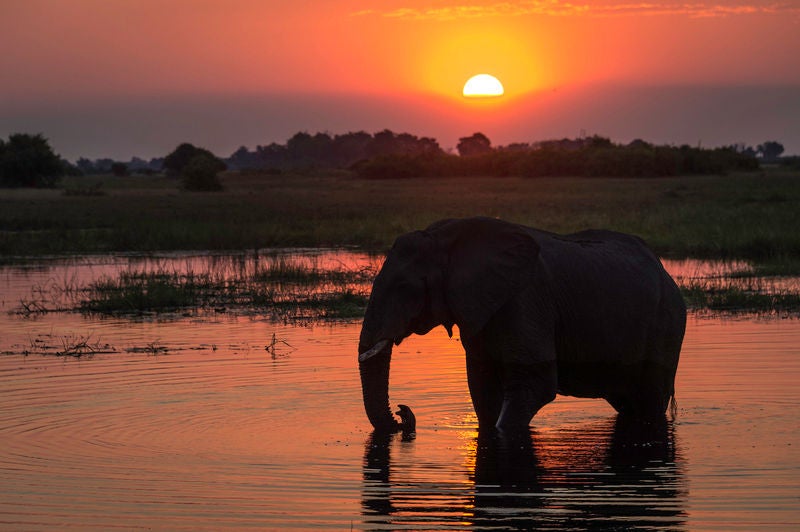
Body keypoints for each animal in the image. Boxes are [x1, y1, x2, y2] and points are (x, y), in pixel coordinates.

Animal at [358, 216, 688, 432]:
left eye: (404, 287)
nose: (403, 413)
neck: (445, 239)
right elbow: (482, 384)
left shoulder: (526, 298)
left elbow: (535, 381)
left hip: (667, 324)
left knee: (649, 401)